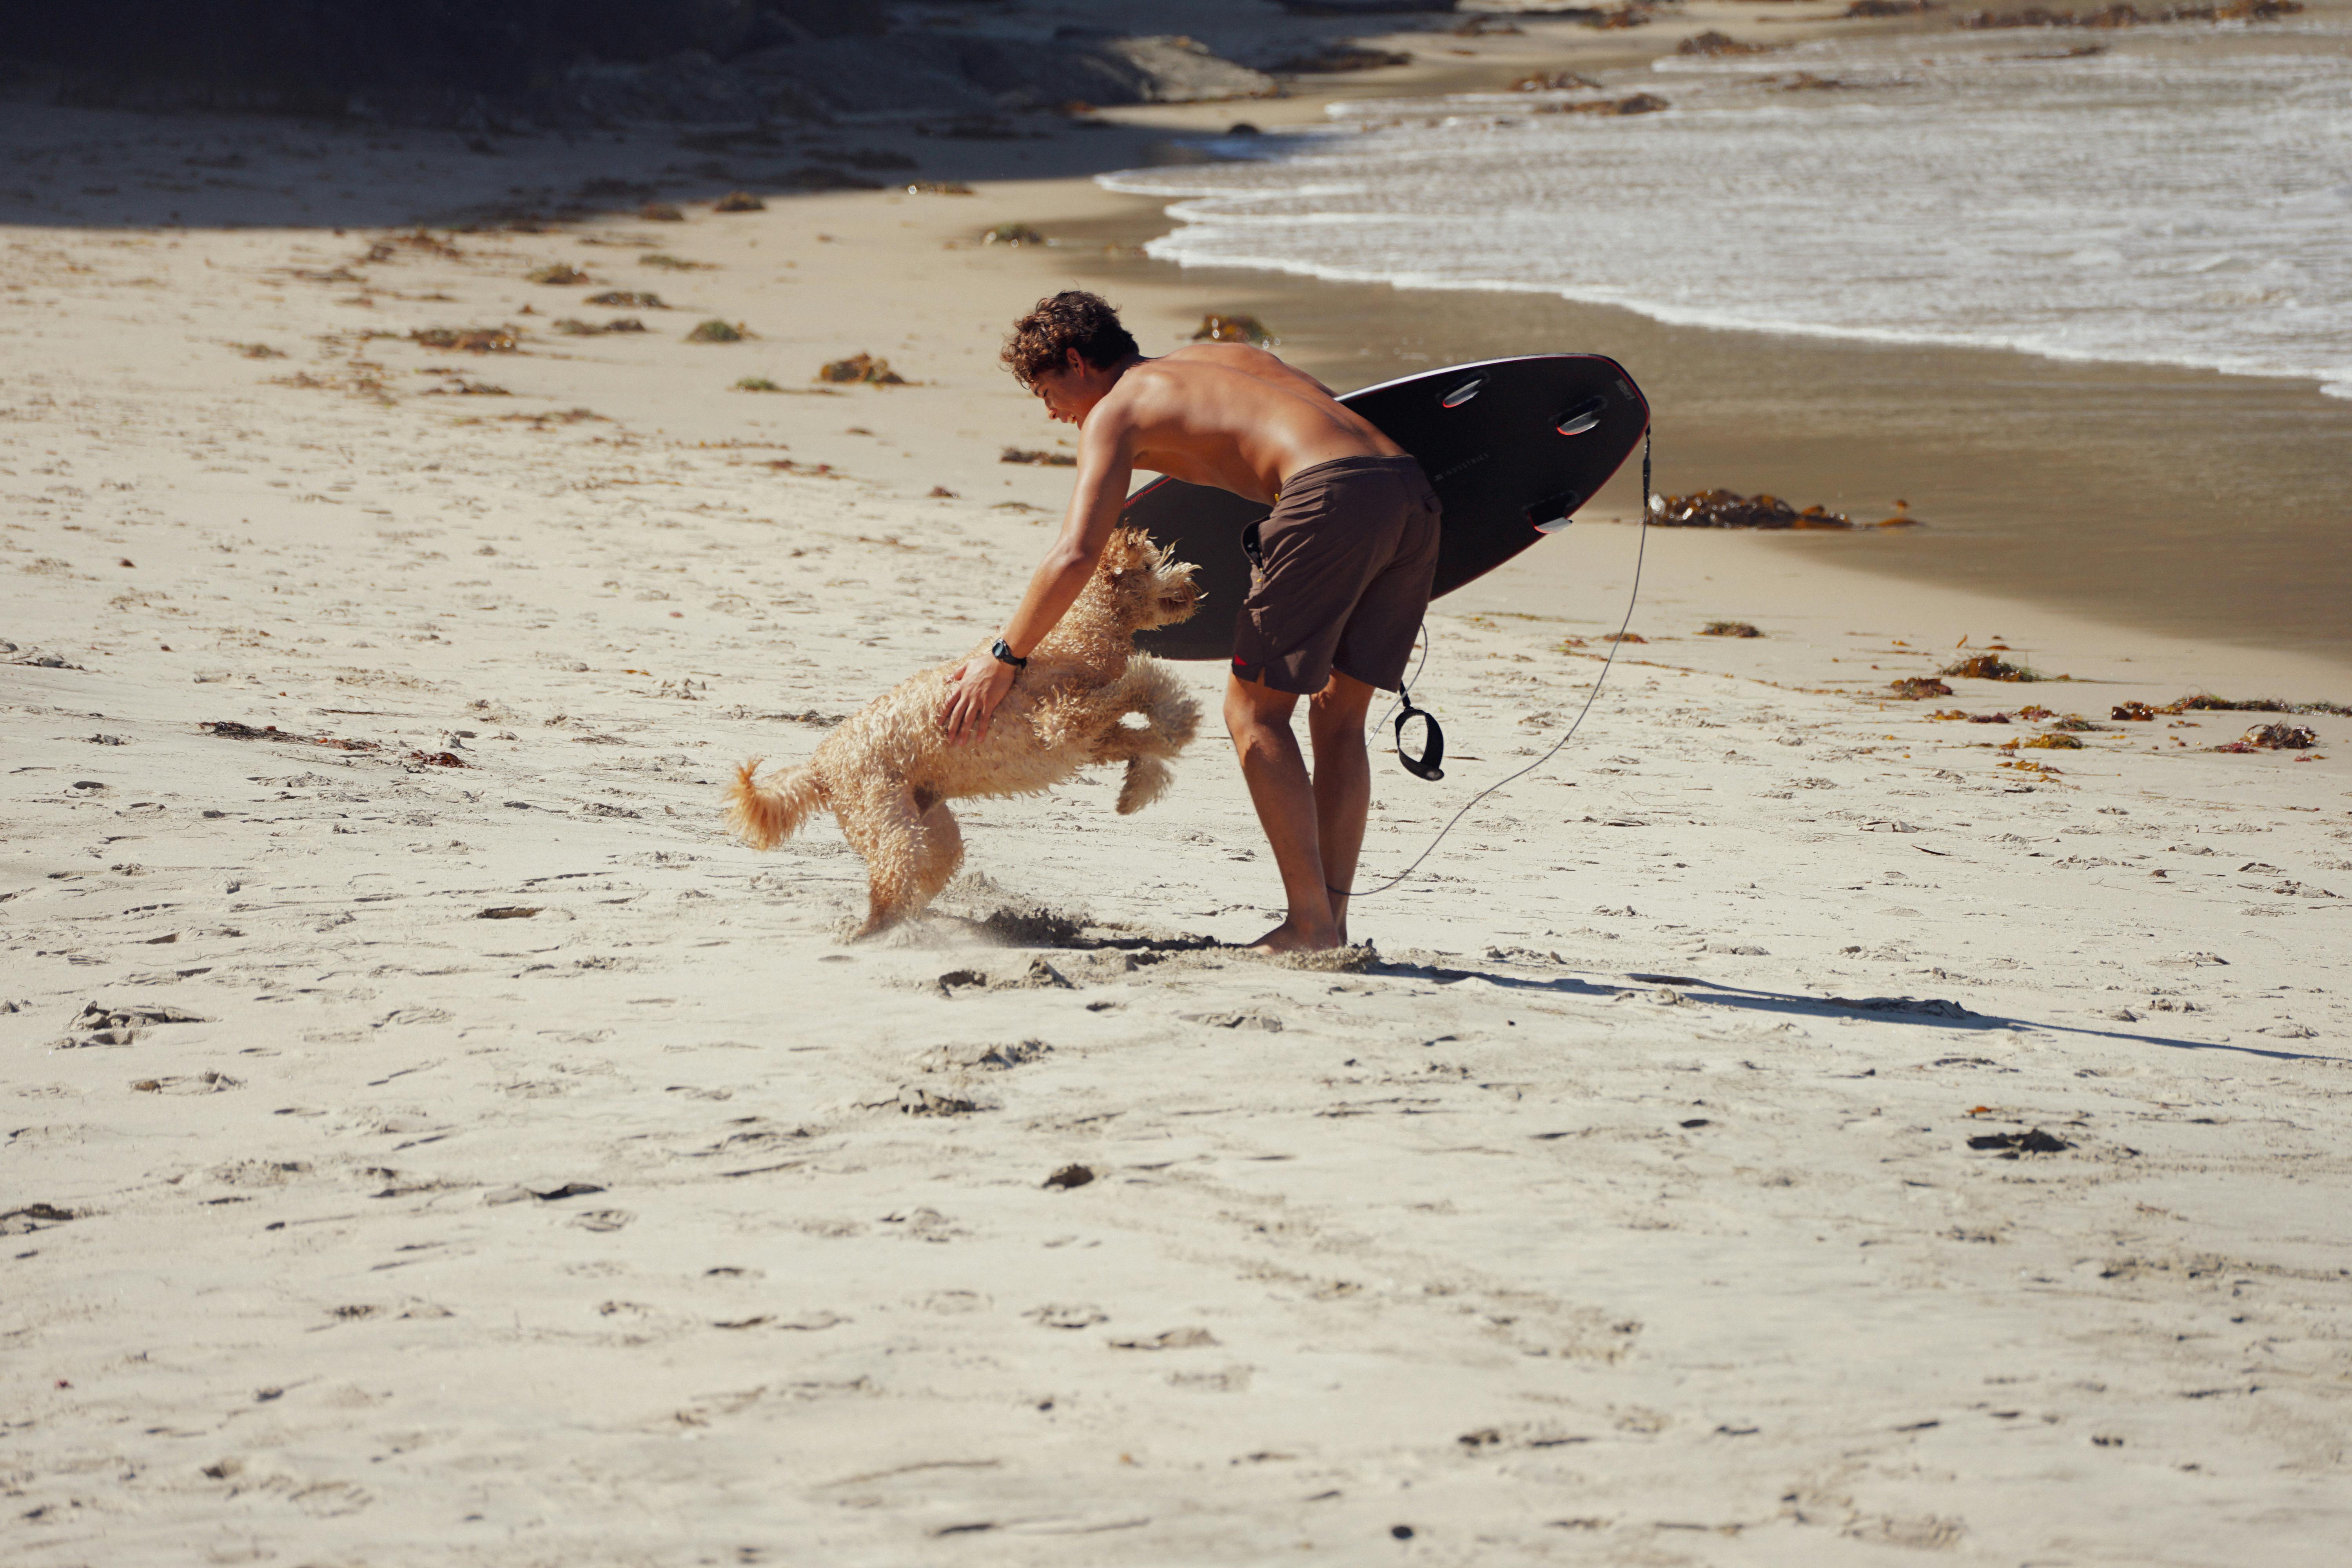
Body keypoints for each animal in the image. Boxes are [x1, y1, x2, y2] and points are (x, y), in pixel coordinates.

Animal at [724, 526, 1204, 945]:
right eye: (1150, 564)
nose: (1193, 579)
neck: (1083, 622)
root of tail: (821, 763)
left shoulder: (1089, 740)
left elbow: (1142, 735)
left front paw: (1141, 784)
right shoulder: (1064, 720)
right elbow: (1143, 680)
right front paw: (1179, 721)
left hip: (932, 833)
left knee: (916, 882)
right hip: (888, 823)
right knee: (887, 886)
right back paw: (879, 935)